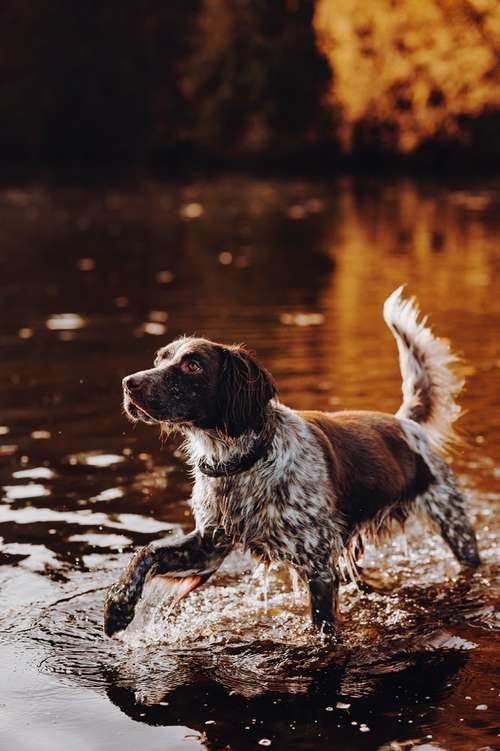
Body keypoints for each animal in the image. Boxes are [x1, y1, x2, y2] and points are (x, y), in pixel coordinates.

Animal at [104, 290, 480, 636]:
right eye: (160, 359)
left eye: (192, 364)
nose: (127, 384)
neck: (243, 464)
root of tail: (405, 422)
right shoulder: (208, 546)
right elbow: (146, 553)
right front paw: (118, 608)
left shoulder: (318, 565)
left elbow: (323, 628)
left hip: (453, 523)